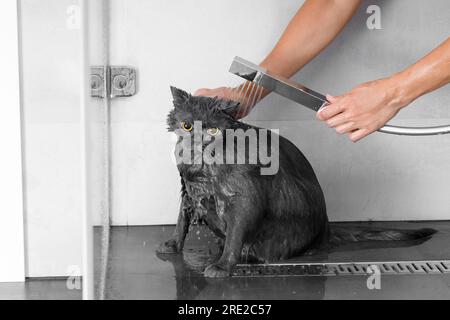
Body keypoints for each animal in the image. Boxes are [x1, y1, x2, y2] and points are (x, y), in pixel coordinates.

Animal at [158, 87, 436, 278]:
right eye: (187, 125)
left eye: (213, 130)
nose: (199, 139)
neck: (202, 168)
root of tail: (326, 229)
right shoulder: (189, 191)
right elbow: (181, 220)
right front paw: (172, 244)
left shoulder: (246, 197)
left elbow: (236, 233)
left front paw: (223, 266)